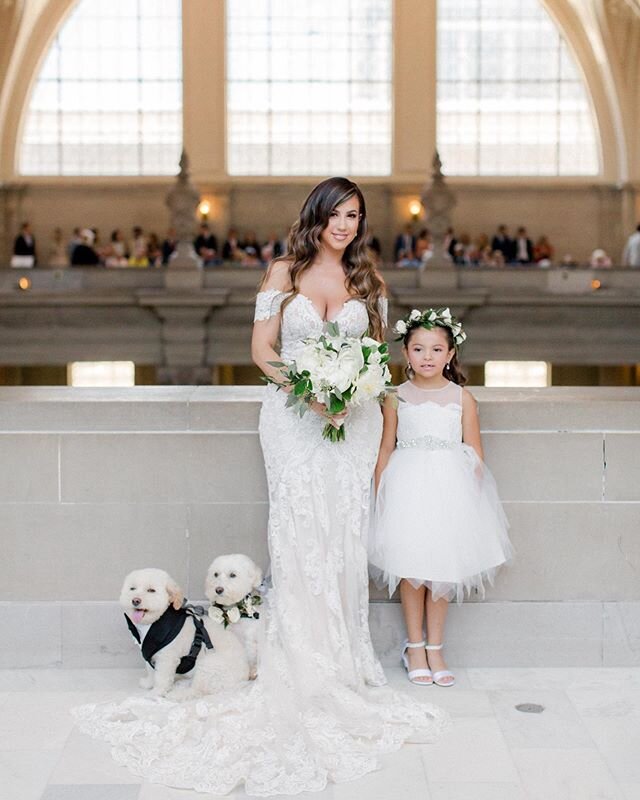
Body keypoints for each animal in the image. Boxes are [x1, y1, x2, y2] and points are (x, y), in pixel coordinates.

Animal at [120, 564, 250, 696]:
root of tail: (244, 678)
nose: (135, 600)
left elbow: (161, 677)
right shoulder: (151, 652)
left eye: (151, 590)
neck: (156, 620)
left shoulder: (167, 658)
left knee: (196, 691)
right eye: (132, 588)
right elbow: (151, 671)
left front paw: (156, 692)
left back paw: (179, 694)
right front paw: (149, 683)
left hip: (209, 665)